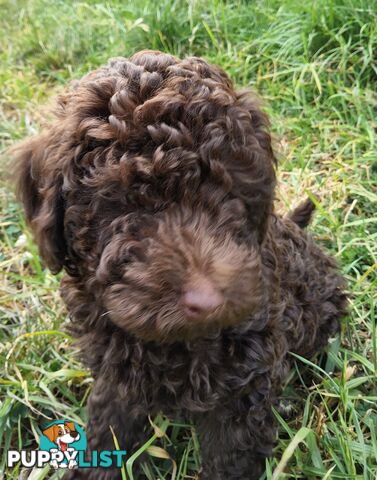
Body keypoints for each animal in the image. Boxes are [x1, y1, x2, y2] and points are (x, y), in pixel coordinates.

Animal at [15, 50, 346, 478]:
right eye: (122, 200)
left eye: (230, 193)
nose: (208, 301)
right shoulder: (116, 372)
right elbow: (108, 422)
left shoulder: (243, 383)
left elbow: (231, 457)